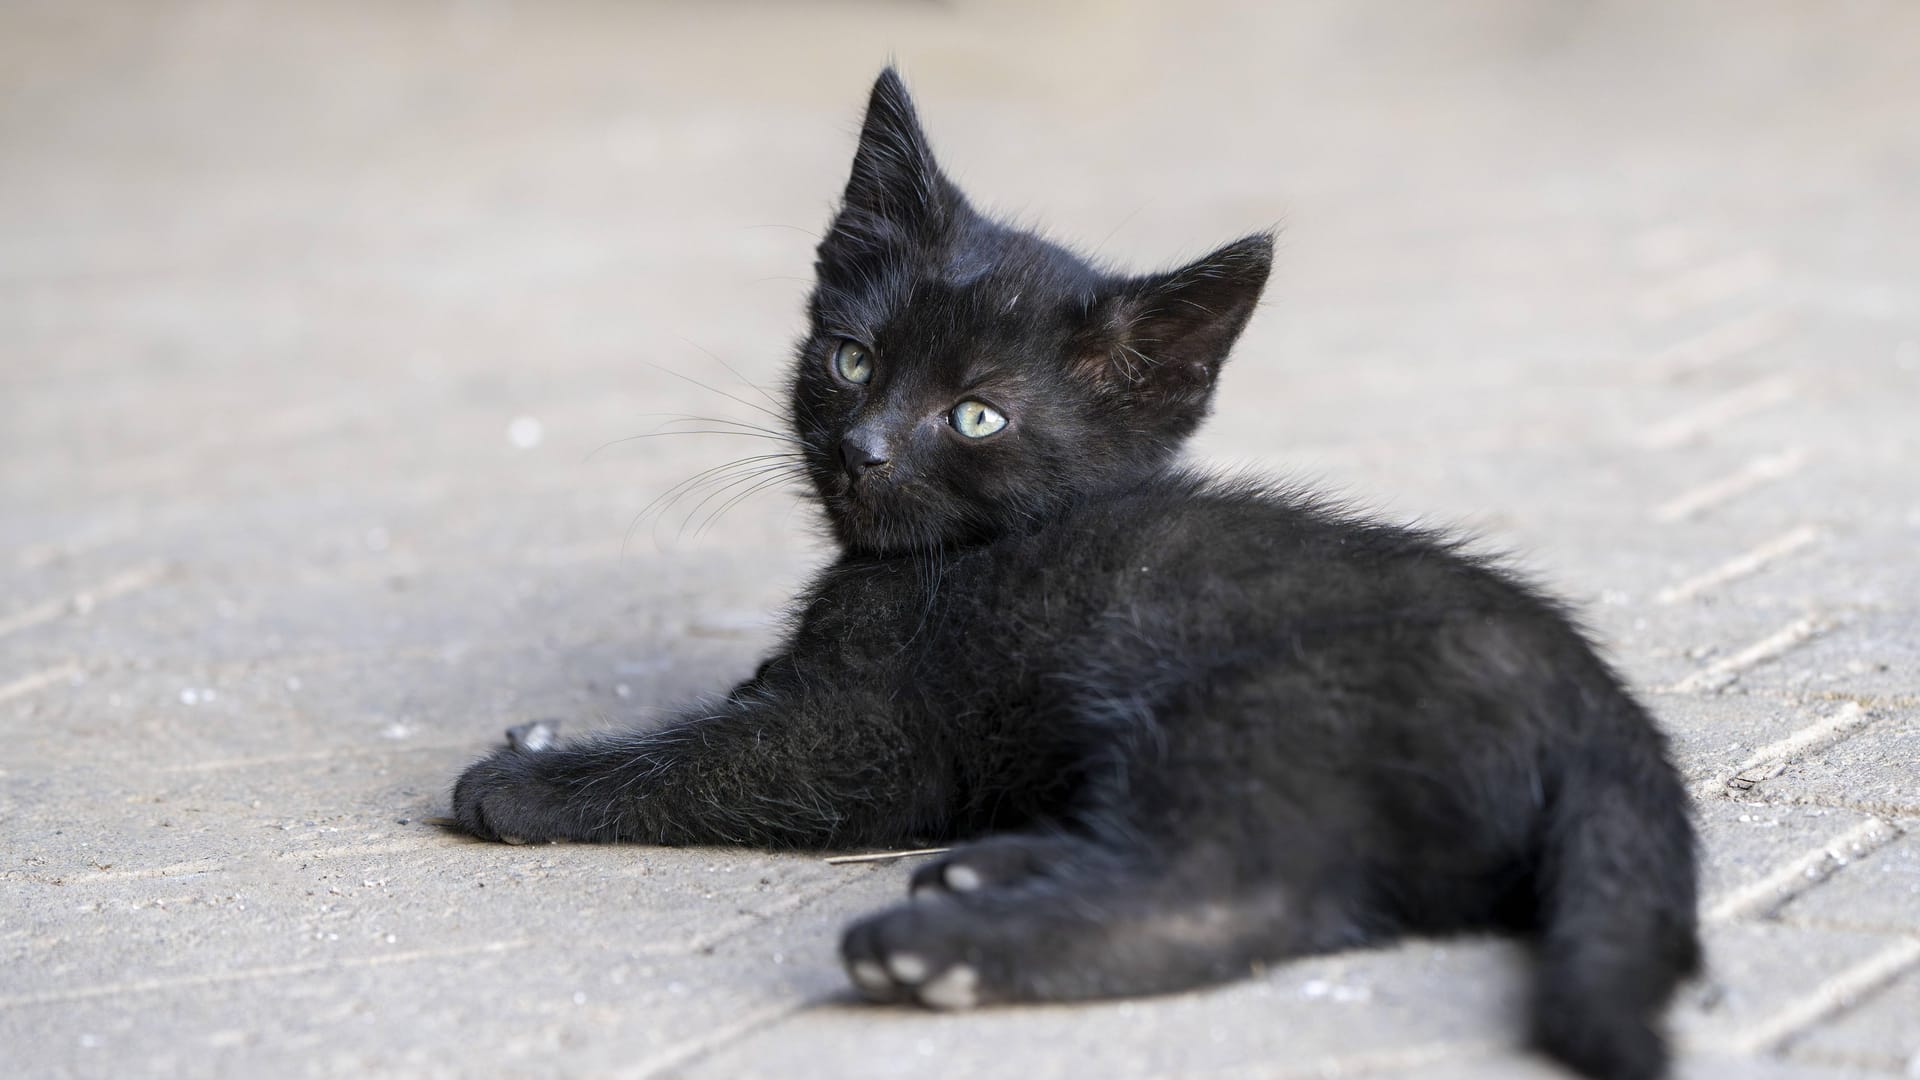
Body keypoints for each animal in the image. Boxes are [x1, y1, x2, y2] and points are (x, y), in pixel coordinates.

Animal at [456, 69, 1704, 1076]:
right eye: (850, 358)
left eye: (975, 415)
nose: (862, 450)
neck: (945, 558)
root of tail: (1605, 716)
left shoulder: (869, 742)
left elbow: (712, 760)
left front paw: (525, 778)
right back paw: (997, 869)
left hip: (1258, 709)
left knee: (1233, 894)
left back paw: (934, 952)